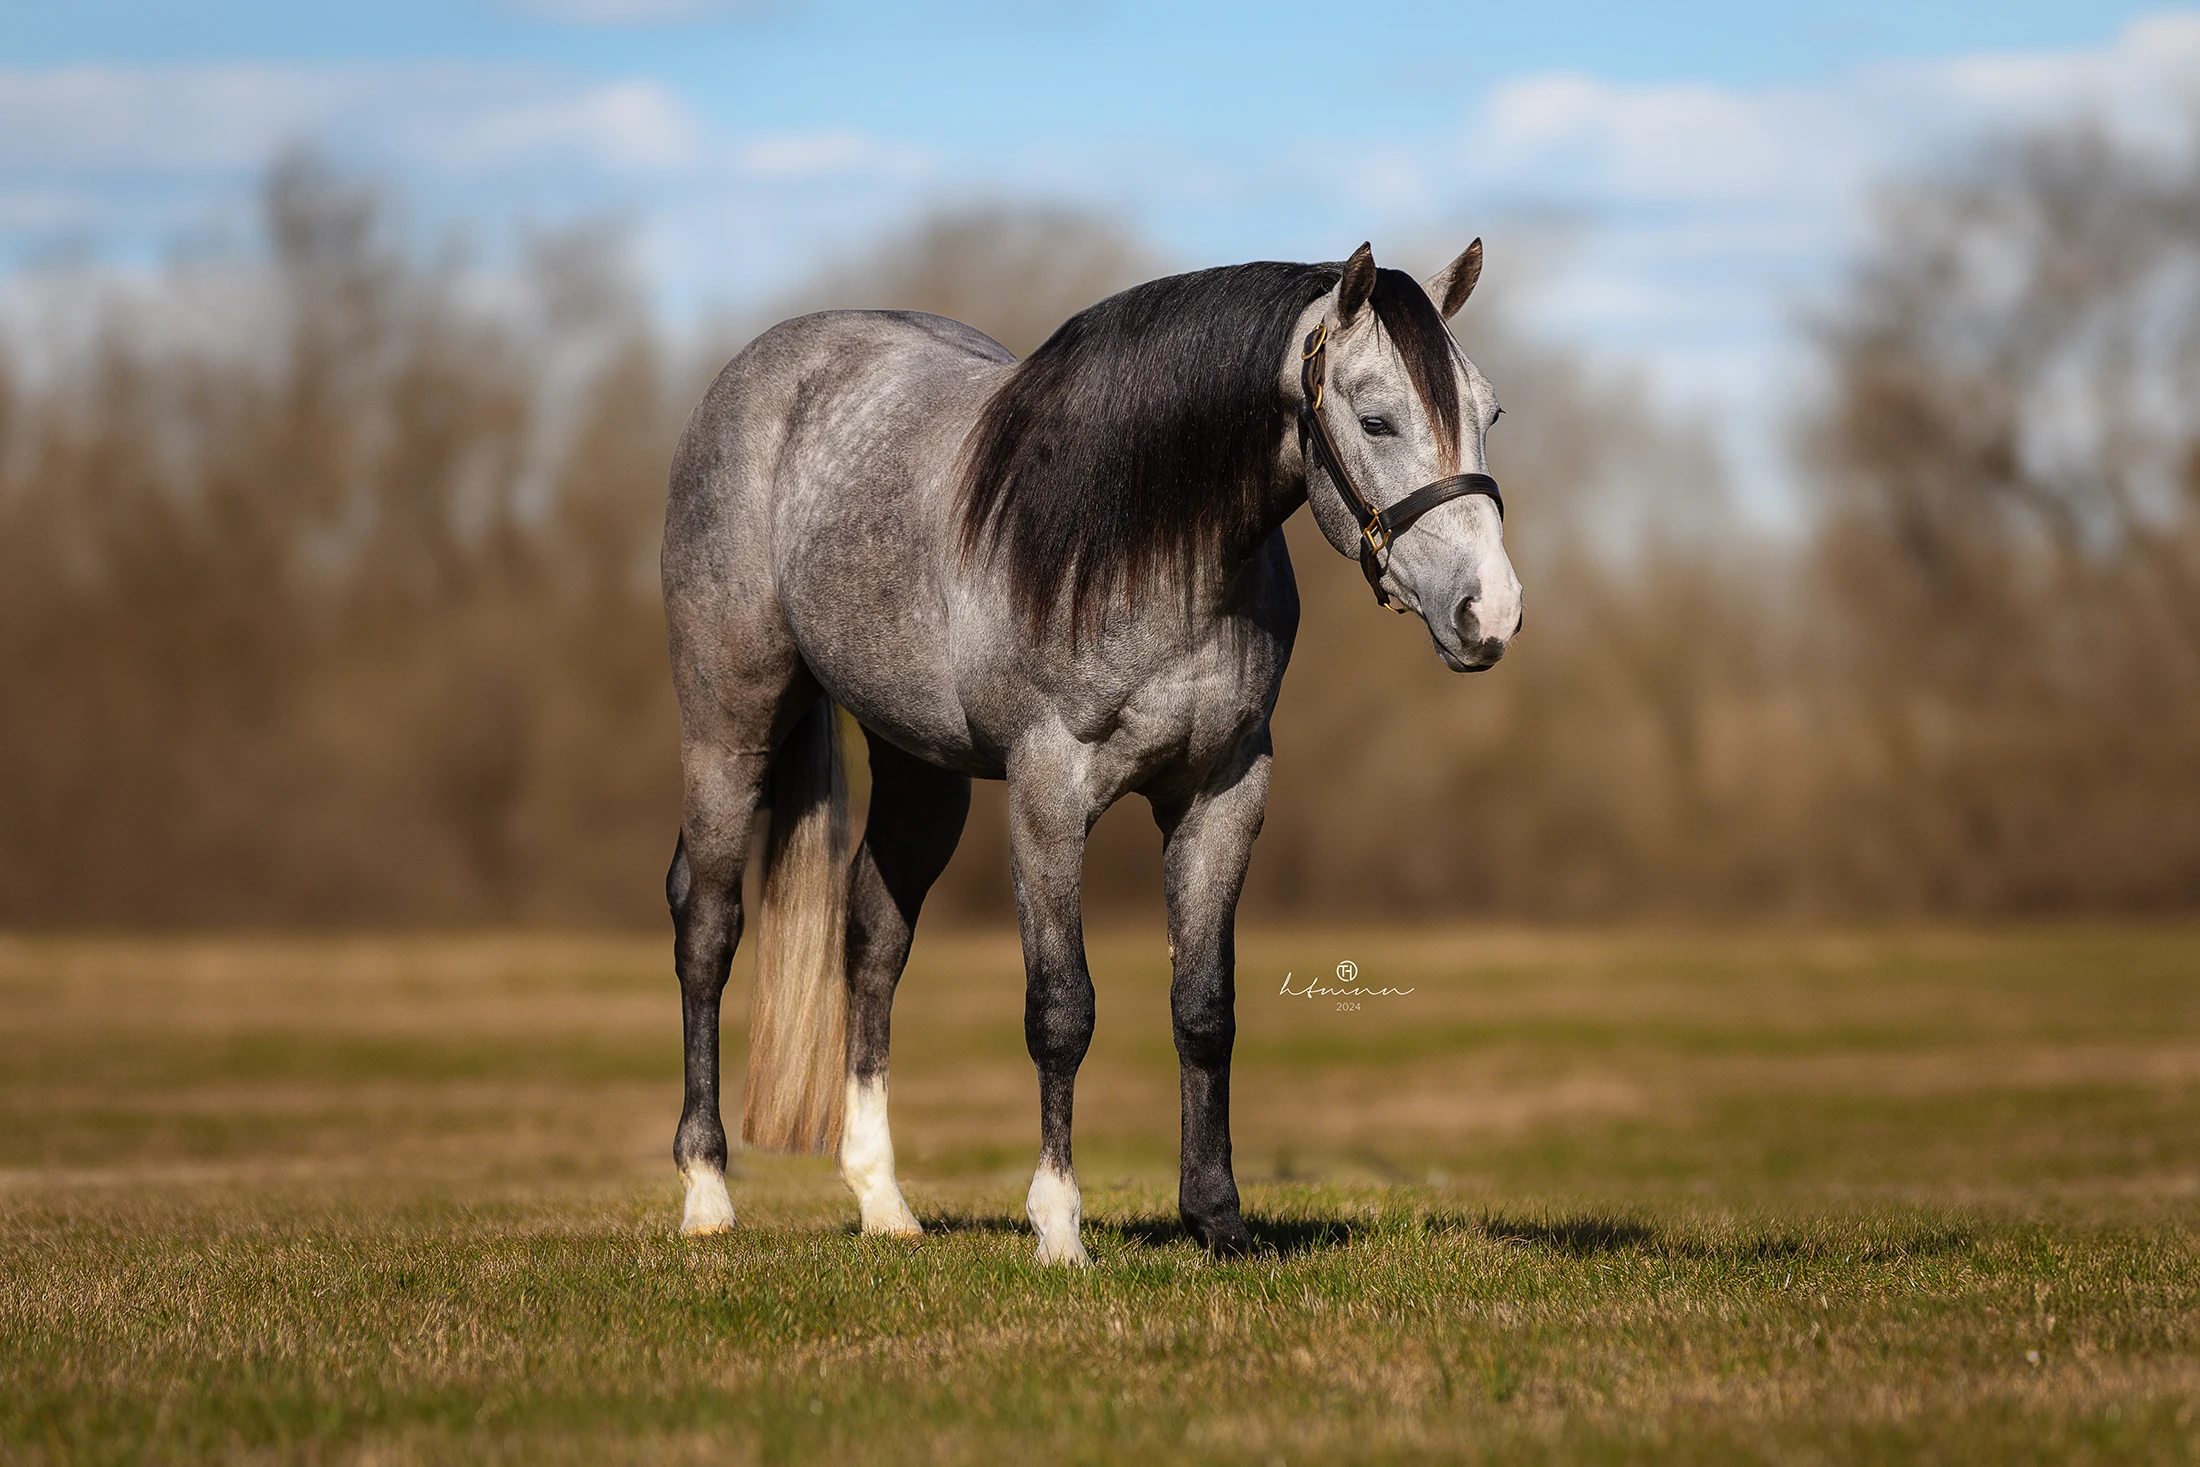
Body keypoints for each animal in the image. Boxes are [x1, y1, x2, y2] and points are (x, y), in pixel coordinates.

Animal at [655, 238, 1513, 1266]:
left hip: (921, 769)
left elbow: (1204, 1005)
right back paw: (707, 1192)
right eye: (1377, 418)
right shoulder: (1048, 795)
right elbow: (1062, 1009)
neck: (1149, 547)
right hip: (728, 725)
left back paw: (883, 1201)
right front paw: (1059, 1224)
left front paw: (1216, 1218)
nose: (1491, 612)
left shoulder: (1224, 792)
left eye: (1489, 413)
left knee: (872, 938)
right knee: (707, 929)